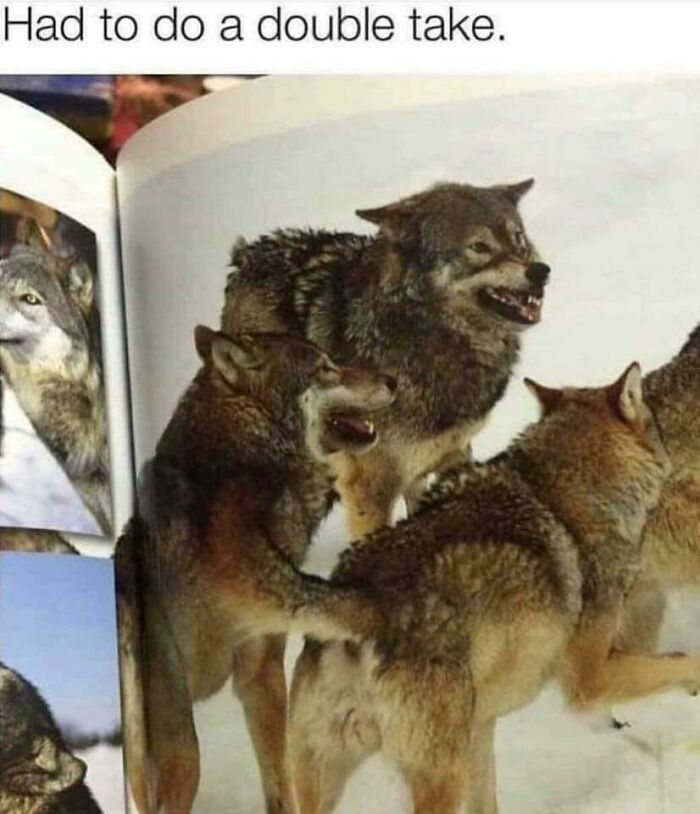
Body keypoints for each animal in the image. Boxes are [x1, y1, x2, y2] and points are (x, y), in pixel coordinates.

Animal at [115, 326, 395, 814]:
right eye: (326, 368)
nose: (393, 381)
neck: (250, 452)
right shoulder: (264, 616)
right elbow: (335, 601)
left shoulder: (254, 673)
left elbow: (277, 785)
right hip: (184, 753)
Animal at [222, 180, 550, 538]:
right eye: (479, 246)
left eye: (518, 238)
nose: (540, 271)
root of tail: (246, 255)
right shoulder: (370, 488)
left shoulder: (454, 453)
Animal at [285, 364, 700, 814]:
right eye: (654, 424)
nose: (670, 457)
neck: (564, 490)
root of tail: (360, 598)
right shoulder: (590, 679)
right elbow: (681, 660)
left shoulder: (484, 724)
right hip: (442, 778)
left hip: (338, 774)